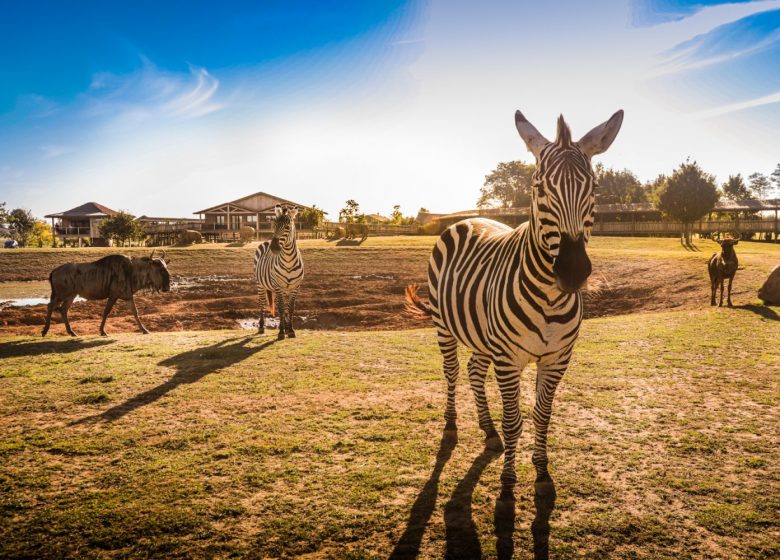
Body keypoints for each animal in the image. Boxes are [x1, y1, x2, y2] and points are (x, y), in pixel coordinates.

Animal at [256, 203, 304, 340]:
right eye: (274, 225)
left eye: (287, 227)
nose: (273, 248)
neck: (288, 261)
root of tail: (266, 241)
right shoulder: (278, 286)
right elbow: (282, 309)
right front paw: (281, 332)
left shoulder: (295, 287)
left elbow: (290, 308)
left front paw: (290, 330)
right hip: (260, 284)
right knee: (262, 303)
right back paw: (261, 327)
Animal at [406, 107, 624, 500]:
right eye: (539, 188)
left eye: (595, 188)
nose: (572, 271)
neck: (550, 300)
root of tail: (468, 218)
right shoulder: (508, 360)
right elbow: (513, 421)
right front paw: (507, 482)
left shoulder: (557, 359)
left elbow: (541, 415)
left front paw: (542, 471)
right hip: (444, 326)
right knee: (453, 371)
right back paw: (452, 425)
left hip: (482, 337)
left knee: (474, 371)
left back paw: (488, 430)